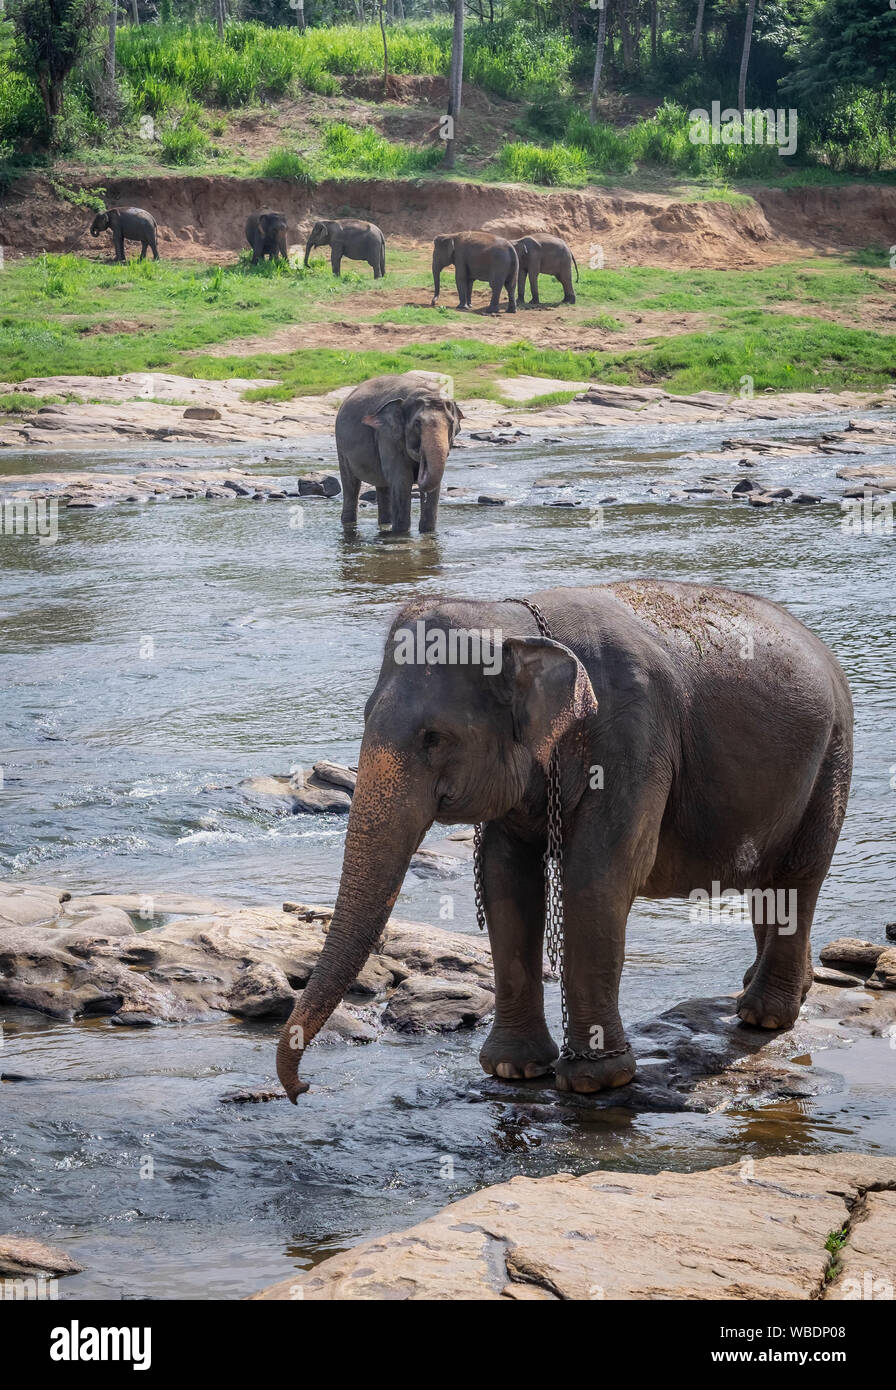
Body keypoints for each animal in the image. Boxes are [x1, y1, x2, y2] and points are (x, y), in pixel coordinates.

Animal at [276, 581, 853, 1103]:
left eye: (434, 738)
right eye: (365, 715)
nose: (304, 1089)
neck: (516, 621)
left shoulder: (632, 740)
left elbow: (599, 876)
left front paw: (596, 1080)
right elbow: (505, 878)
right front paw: (513, 1069)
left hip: (833, 755)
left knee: (799, 875)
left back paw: (764, 1015)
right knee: (769, 882)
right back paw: (773, 990)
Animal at [335, 372, 463, 535]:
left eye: (451, 422)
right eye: (417, 423)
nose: (421, 464)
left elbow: (435, 485)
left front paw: (427, 533)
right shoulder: (388, 436)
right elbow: (402, 479)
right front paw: (401, 534)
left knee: (383, 486)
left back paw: (385, 525)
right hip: (341, 446)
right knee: (351, 484)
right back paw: (349, 524)